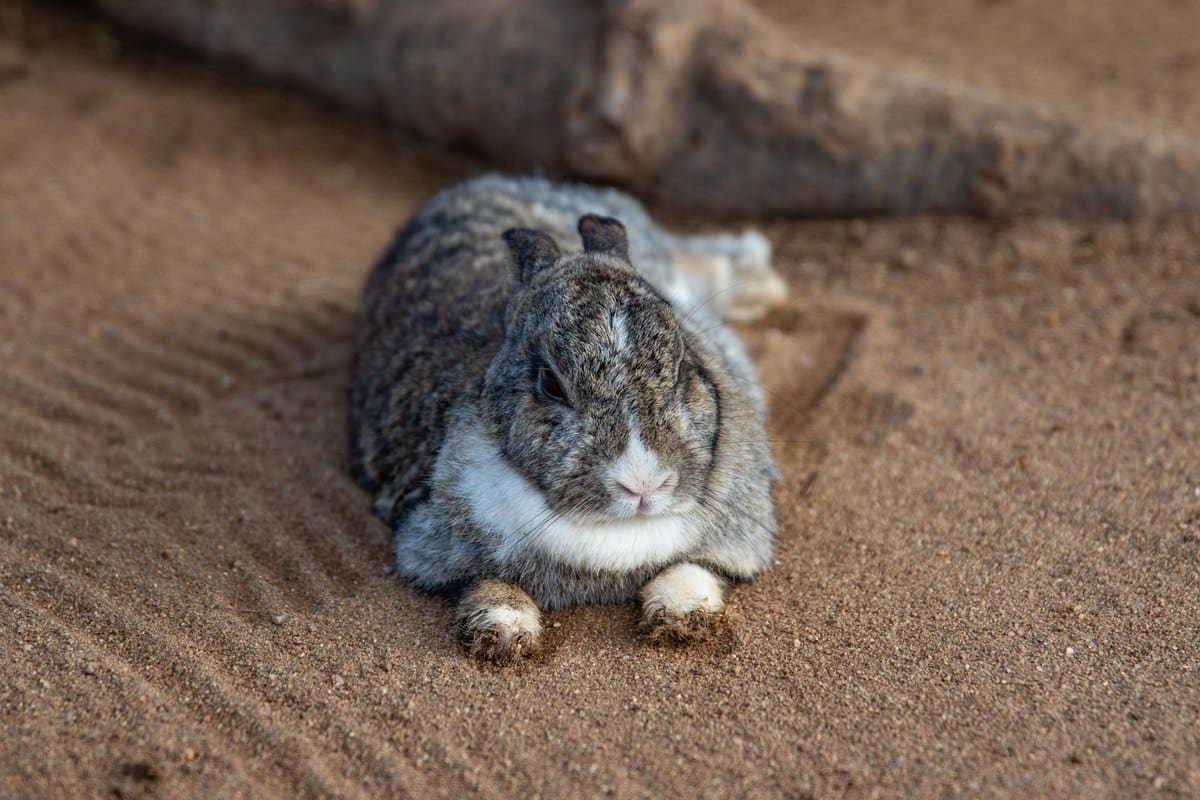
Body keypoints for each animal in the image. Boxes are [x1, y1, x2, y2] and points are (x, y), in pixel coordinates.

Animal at [348, 174, 786, 662]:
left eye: (681, 366)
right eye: (551, 383)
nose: (643, 483)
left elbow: (692, 567)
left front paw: (682, 618)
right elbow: (489, 583)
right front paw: (503, 634)